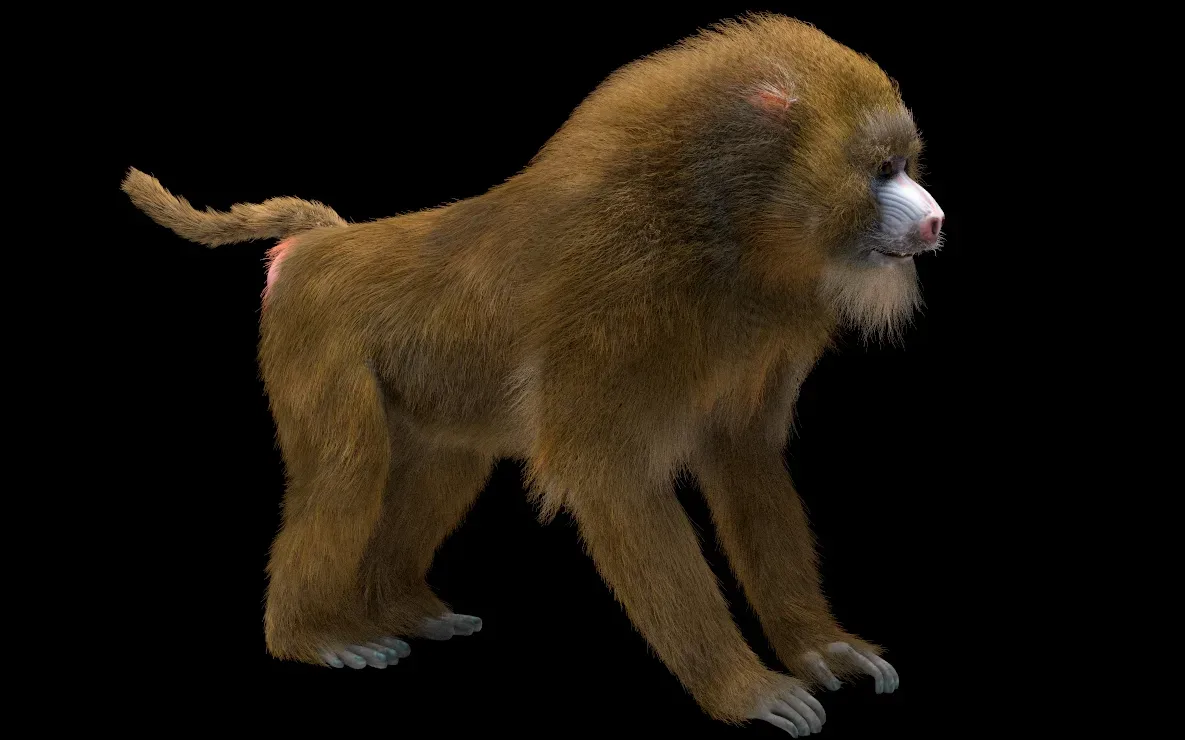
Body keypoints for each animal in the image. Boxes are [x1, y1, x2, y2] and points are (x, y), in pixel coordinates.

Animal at [123, 14, 943, 735]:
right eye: (881, 169)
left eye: (904, 164)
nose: (934, 219)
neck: (717, 222)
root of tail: (324, 244)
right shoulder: (617, 298)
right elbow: (608, 472)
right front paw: (742, 690)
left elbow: (742, 460)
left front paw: (819, 648)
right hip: (312, 337)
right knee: (347, 471)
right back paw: (313, 637)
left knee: (442, 463)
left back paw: (400, 608)